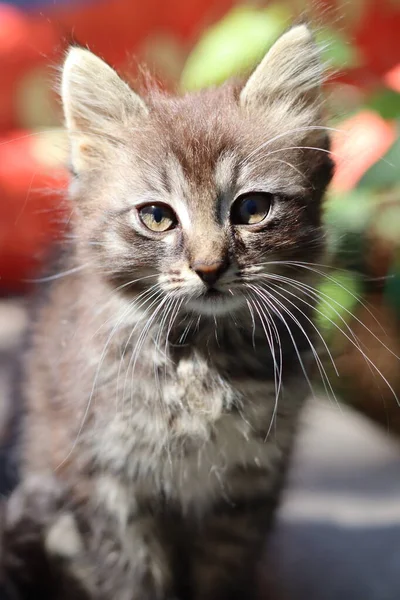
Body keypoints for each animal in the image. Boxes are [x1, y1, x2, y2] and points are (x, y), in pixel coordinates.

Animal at [1, 24, 332, 600]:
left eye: (252, 209)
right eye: (157, 216)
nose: (209, 267)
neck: (202, 354)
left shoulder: (247, 488)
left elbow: (220, 576)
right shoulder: (103, 483)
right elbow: (131, 579)